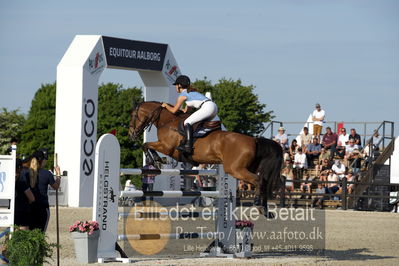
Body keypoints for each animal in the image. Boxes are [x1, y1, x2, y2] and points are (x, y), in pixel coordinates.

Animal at [129, 101, 284, 215]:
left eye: (133, 115)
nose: (131, 134)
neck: (167, 121)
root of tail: (255, 140)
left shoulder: (166, 147)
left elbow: (146, 145)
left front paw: (155, 161)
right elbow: (147, 145)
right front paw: (159, 160)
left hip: (235, 169)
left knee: (258, 180)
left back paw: (258, 205)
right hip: (246, 167)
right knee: (264, 181)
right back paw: (265, 210)